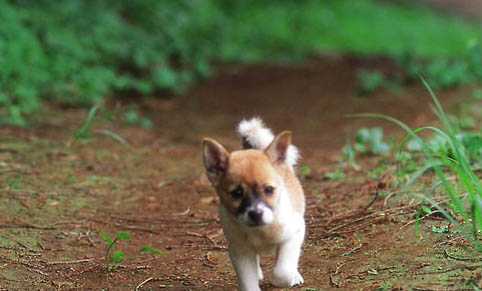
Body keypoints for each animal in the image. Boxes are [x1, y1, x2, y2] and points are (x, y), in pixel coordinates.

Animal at [201, 117, 304, 290]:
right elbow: (248, 282)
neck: (259, 231)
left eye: (269, 189)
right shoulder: (240, 251)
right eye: (237, 193)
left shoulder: (295, 233)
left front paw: (288, 277)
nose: (256, 214)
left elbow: (281, 271)